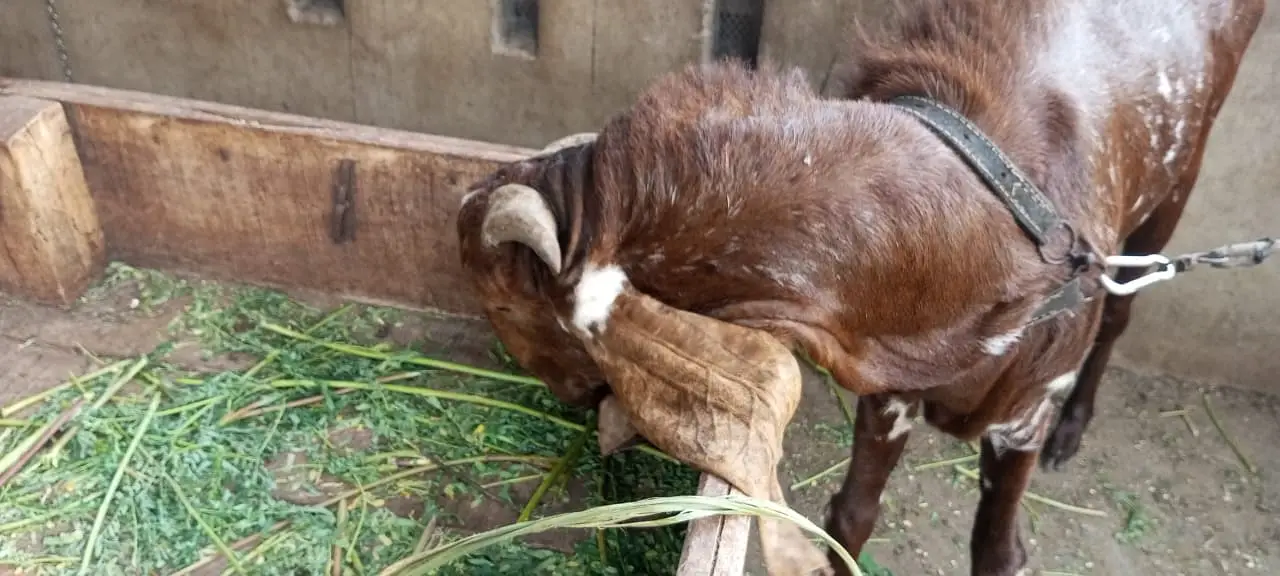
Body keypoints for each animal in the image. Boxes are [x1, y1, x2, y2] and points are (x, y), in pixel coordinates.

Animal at [456, 1, 1264, 573]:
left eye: (503, 301)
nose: (566, 394)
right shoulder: (890, 392)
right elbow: (850, 518)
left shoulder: (1023, 413)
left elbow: (998, 552)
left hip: (1180, 175)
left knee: (1127, 310)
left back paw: (1078, 427)